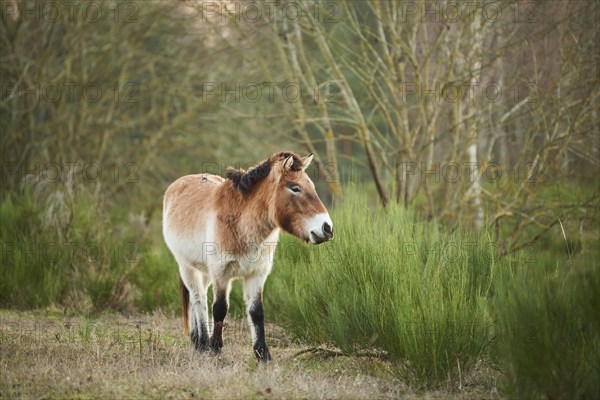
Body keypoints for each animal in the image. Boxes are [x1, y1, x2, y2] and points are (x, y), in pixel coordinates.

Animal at [163, 152, 332, 360]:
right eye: (295, 188)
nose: (327, 228)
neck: (240, 224)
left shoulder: (257, 274)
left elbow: (256, 311)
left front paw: (263, 354)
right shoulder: (221, 273)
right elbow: (220, 308)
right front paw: (215, 348)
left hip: (204, 271)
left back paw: (197, 341)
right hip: (187, 267)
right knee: (198, 299)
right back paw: (202, 343)